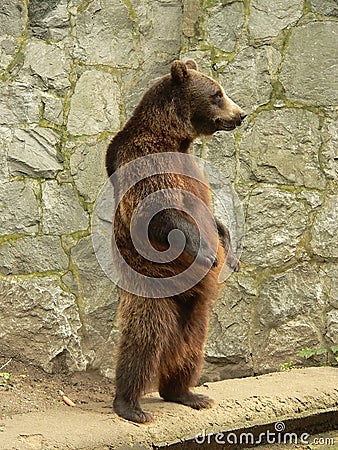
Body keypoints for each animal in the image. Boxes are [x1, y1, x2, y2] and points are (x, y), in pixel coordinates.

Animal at [105, 59, 246, 422]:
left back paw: (187, 393)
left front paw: (230, 252)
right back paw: (130, 405)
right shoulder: (143, 158)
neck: (172, 137)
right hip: (152, 286)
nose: (241, 114)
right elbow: (159, 210)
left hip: (196, 310)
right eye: (217, 93)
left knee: (191, 346)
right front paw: (208, 252)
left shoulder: (192, 169)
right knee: (145, 339)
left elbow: (212, 215)